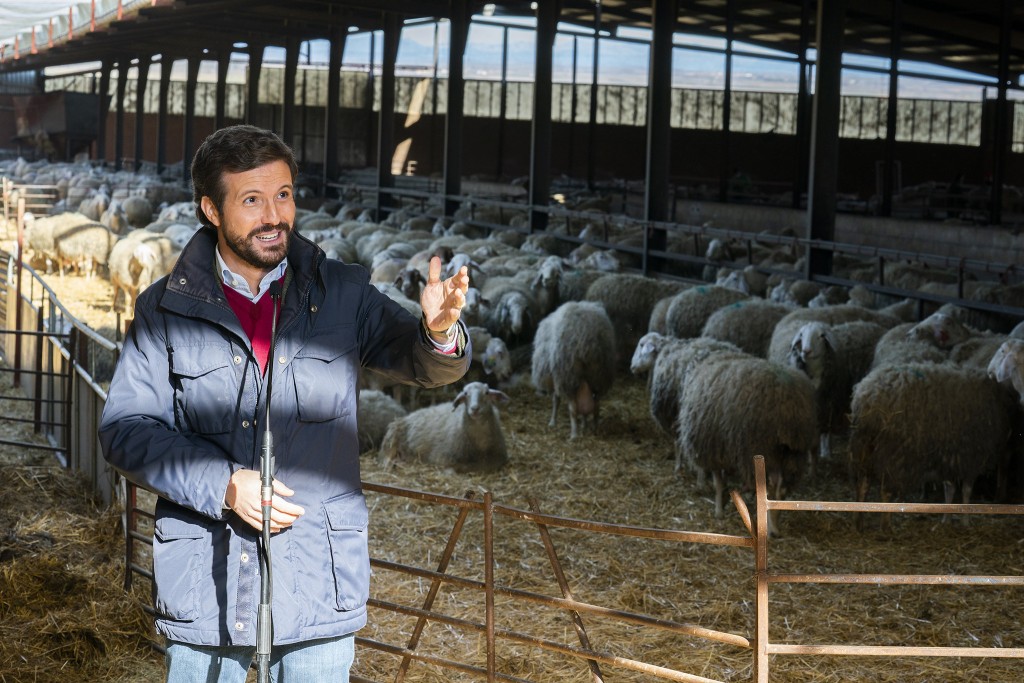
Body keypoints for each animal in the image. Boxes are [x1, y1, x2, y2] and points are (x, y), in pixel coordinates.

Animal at [376, 382, 512, 473]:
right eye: (465, 394)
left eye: (487, 393)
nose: (475, 409)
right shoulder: (442, 458)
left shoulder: (499, 457)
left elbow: (485, 465)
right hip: (391, 444)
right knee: (387, 461)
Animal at [528, 301, 614, 440]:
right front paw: (584, 425)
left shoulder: (556, 378)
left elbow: (556, 400)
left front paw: (552, 421)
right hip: (598, 375)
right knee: (596, 405)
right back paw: (594, 428)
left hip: (568, 375)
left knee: (573, 408)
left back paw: (574, 434)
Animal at [675, 350, 819, 536]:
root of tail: (790, 404)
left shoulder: (712, 447)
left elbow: (718, 482)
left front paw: (719, 510)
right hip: (792, 451)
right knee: (781, 487)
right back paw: (775, 526)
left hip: (762, 445)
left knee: (770, 486)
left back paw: (770, 528)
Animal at [847, 360, 1015, 520]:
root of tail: (867, 398)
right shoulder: (972, 456)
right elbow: (966, 490)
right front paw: (965, 520)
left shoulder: (953, 457)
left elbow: (950, 487)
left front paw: (947, 519)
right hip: (893, 452)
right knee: (885, 490)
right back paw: (885, 524)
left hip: (864, 447)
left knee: (862, 484)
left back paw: (858, 521)